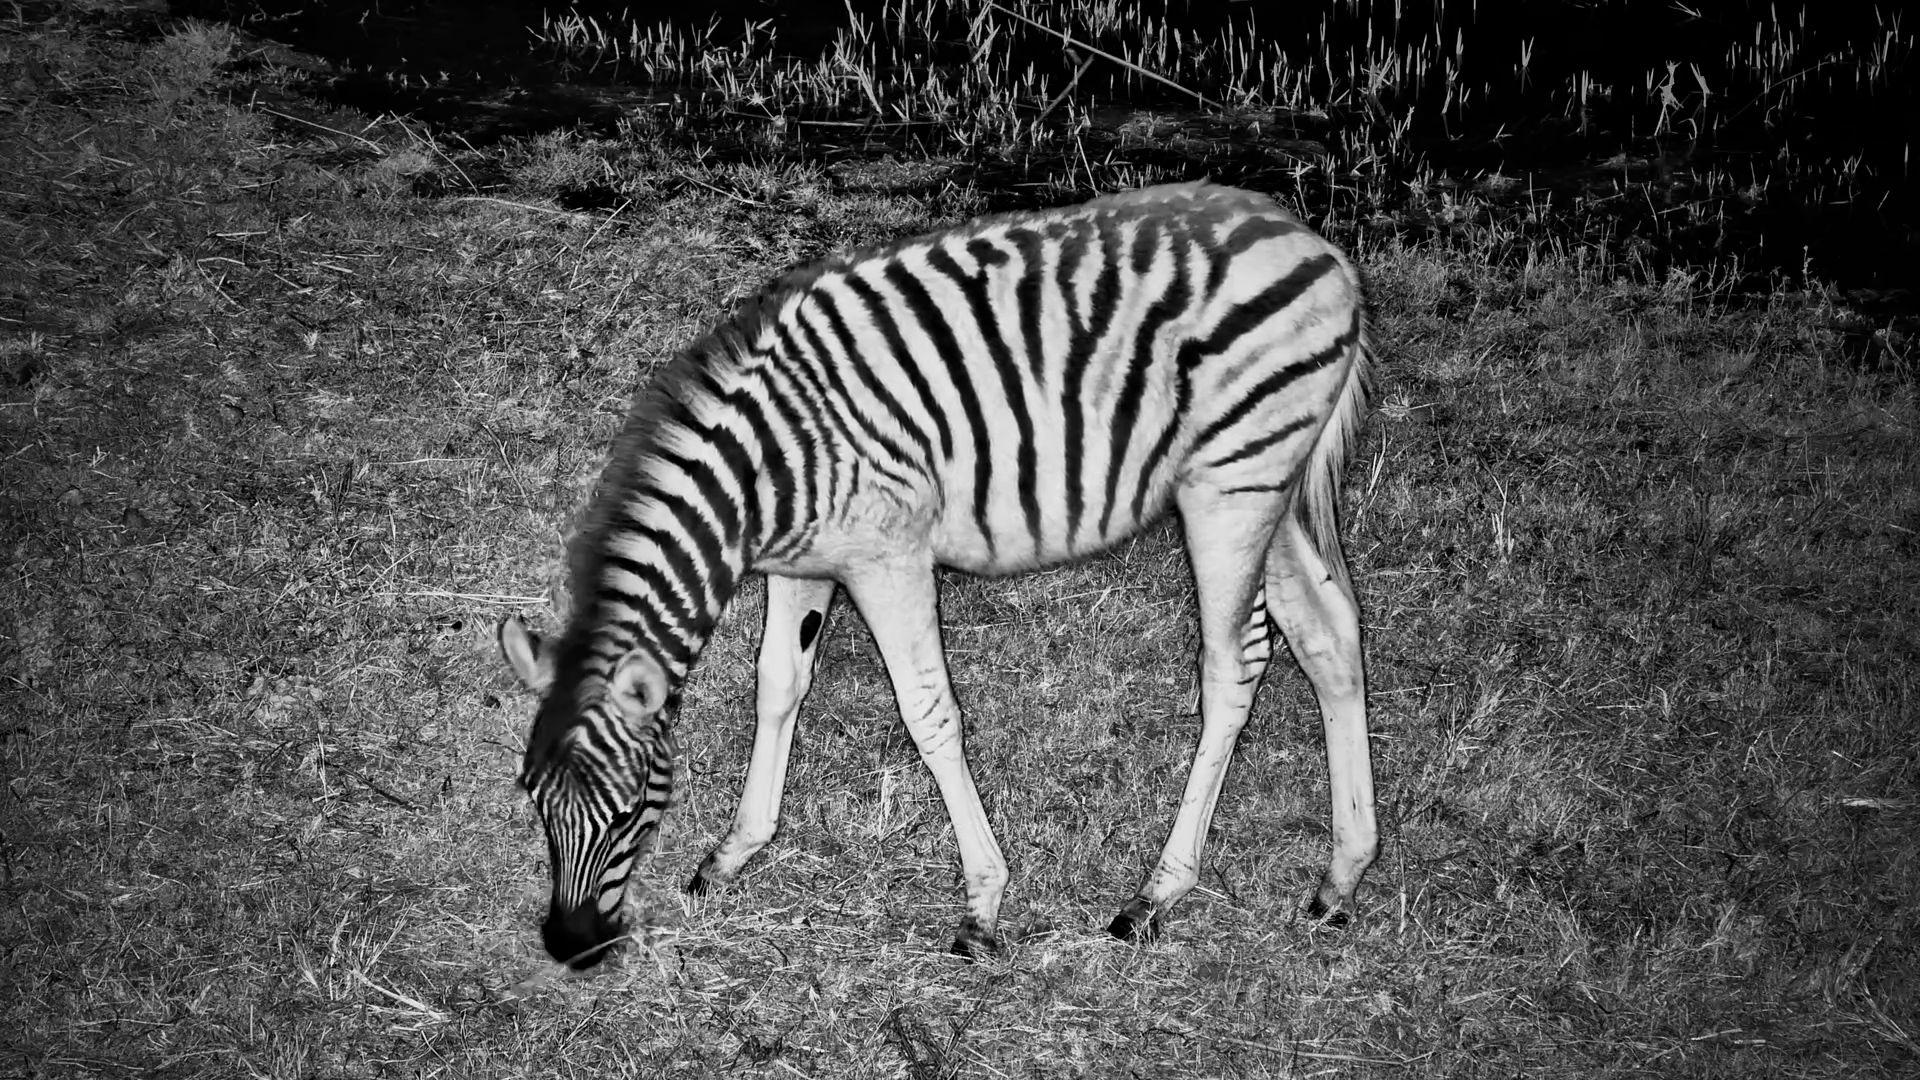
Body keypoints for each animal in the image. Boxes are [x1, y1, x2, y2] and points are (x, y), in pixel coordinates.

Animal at [497, 181, 1377, 968]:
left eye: (622, 816)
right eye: (533, 802)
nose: (570, 949)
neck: (763, 475)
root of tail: (1315, 242)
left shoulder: (890, 559)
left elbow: (929, 715)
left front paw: (982, 904)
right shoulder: (803, 563)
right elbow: (777, 683)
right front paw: (735, 850)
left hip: (1230, 489)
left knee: (1234, 663)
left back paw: (1157, 894)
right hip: (1268, 490)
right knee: (1329, 634)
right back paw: (1342, 877)